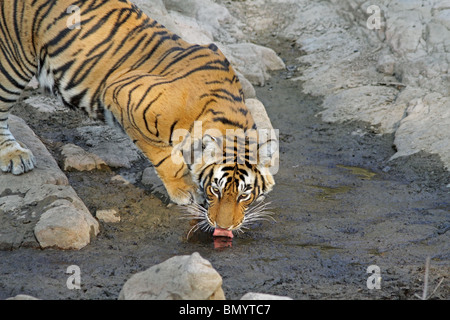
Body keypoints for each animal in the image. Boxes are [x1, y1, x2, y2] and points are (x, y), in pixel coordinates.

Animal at [0, 0, 276, 238]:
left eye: (244, 195)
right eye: (215, 189)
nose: (223, 227)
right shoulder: (124, 96)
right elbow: (165, 156)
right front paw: (185, 190)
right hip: (13, 63)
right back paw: (15, 155)